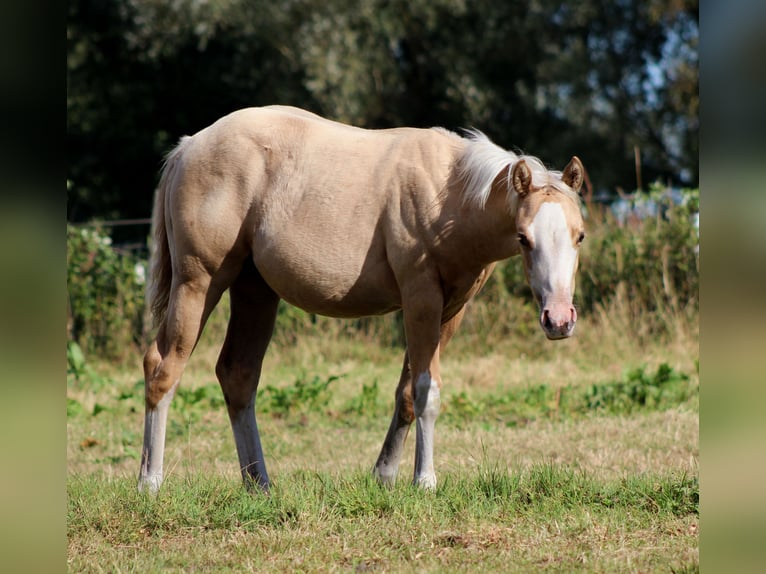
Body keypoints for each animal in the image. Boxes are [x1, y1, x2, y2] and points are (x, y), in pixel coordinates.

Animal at [138, 105, 585, 494]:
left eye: (579, 235)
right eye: (524, 238)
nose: (559, 320)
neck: (448, 194)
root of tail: (188, 147)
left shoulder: (450, 310)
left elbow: (407, 393)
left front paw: (385, 476)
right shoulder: (421, 299)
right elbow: (427, 391)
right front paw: (424, 481)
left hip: (255, 290)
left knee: (238, 376)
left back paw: (259, 484)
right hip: (198, 283)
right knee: (163, 368)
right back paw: (150, 483)